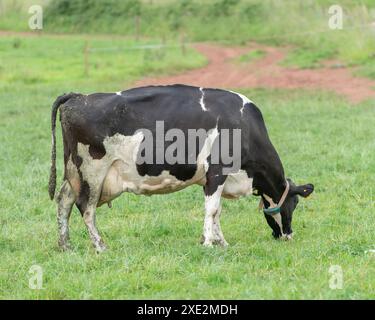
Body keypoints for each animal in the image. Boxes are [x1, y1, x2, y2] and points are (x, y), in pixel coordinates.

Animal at [49, 85, 314, 252]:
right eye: (294, 204)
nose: (288, 235)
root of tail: (79, 97)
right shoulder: (217, 171)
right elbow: (212, 209)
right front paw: (208, 243)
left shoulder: (213, 179)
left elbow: (216, 211)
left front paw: (221, 242)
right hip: (92, 171)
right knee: (86, 208)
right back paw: (100, 246)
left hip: (74, 172)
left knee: (64, 200)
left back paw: (65, 245)